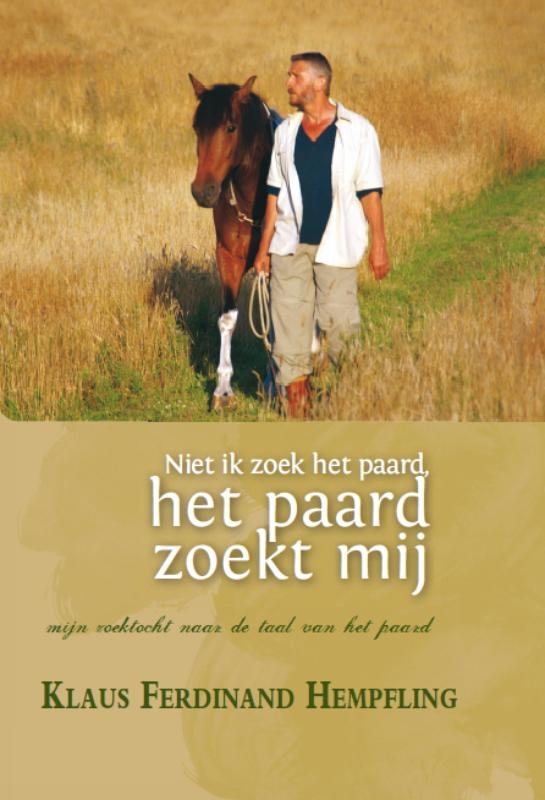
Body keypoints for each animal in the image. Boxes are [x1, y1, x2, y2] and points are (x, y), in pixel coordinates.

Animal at [189, 74, 276, 410]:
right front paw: (223, 390)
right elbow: (228, 319)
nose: (203, 191)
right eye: (197, 128)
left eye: (231, 127)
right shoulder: (228, 257)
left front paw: (274, 381)